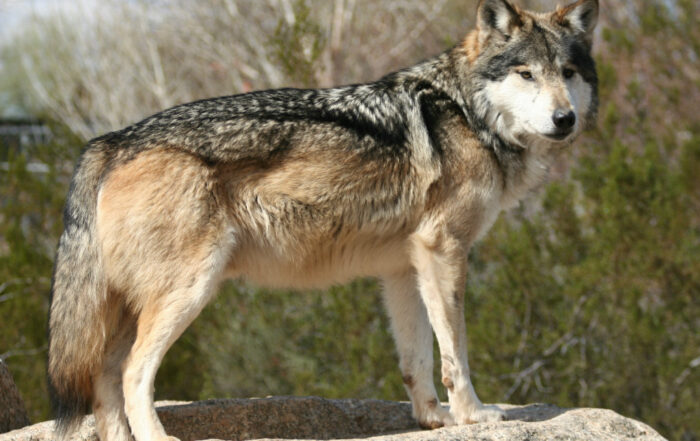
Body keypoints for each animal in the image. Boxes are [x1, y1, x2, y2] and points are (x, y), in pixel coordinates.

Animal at [47, 0, 598, 439]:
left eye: (568, 72)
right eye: (526, 74)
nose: (565, 119)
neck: (467, 112)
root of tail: (110, 140)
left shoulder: (404, 268)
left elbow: (417, 359)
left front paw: (432, 420)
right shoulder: (444, 251)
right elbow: (454, 354)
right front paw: (472, 415)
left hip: (134, 307)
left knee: (104, 382)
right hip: (188, 291)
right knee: (132, 375)